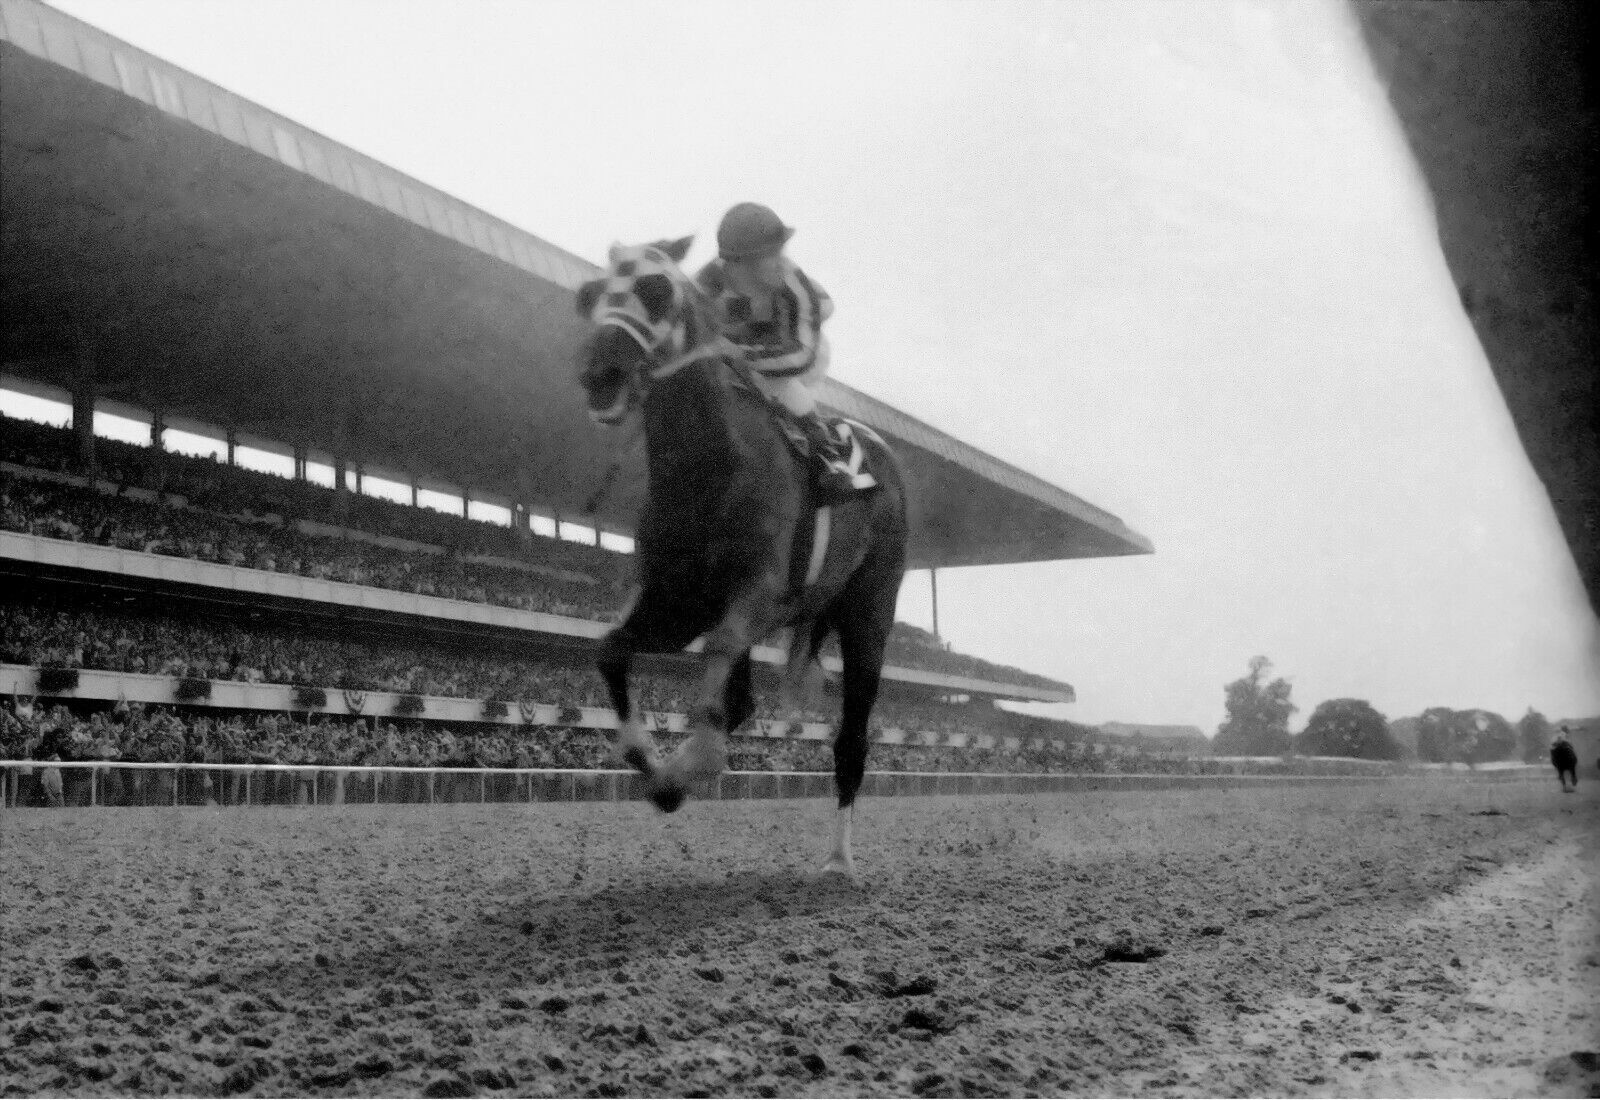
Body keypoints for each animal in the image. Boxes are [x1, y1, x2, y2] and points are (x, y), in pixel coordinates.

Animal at [576, 236, 908, 882]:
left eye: (656, 288)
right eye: (590, 294)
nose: (600, 373)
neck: (710, 467)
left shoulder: (761, 591)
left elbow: (720, 651)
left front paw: (696, 761)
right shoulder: (677, 602)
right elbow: (611, 650)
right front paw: (659, 773)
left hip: (868, 615)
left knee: (851, 739)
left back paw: (838, 859)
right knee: (743, 699)